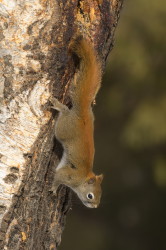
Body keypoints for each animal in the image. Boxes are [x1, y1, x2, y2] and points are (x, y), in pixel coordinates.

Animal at [50, 36, 103, 209]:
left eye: (101, 195)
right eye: (90, 195)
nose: (95, 206)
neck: (84, 177)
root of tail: (83, 114)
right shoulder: (69, 176)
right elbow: (58, 177)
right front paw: (54, 188)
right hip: (62, 129)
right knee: (65, 112)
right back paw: (59, 106)